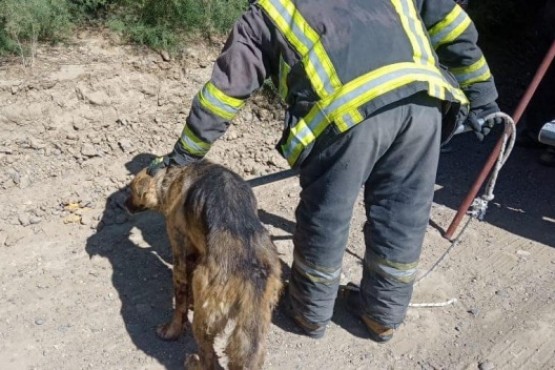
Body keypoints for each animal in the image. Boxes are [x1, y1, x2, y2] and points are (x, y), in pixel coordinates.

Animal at [126, 160, 282, 370]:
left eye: (131, 190)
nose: (123, 205)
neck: (170, 176)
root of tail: (252, 272)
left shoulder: (180, 252)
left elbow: (180, 303)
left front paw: (171, 330)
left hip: (205, 317)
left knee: (210, 359)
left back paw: (194, 362)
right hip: (255, 326)